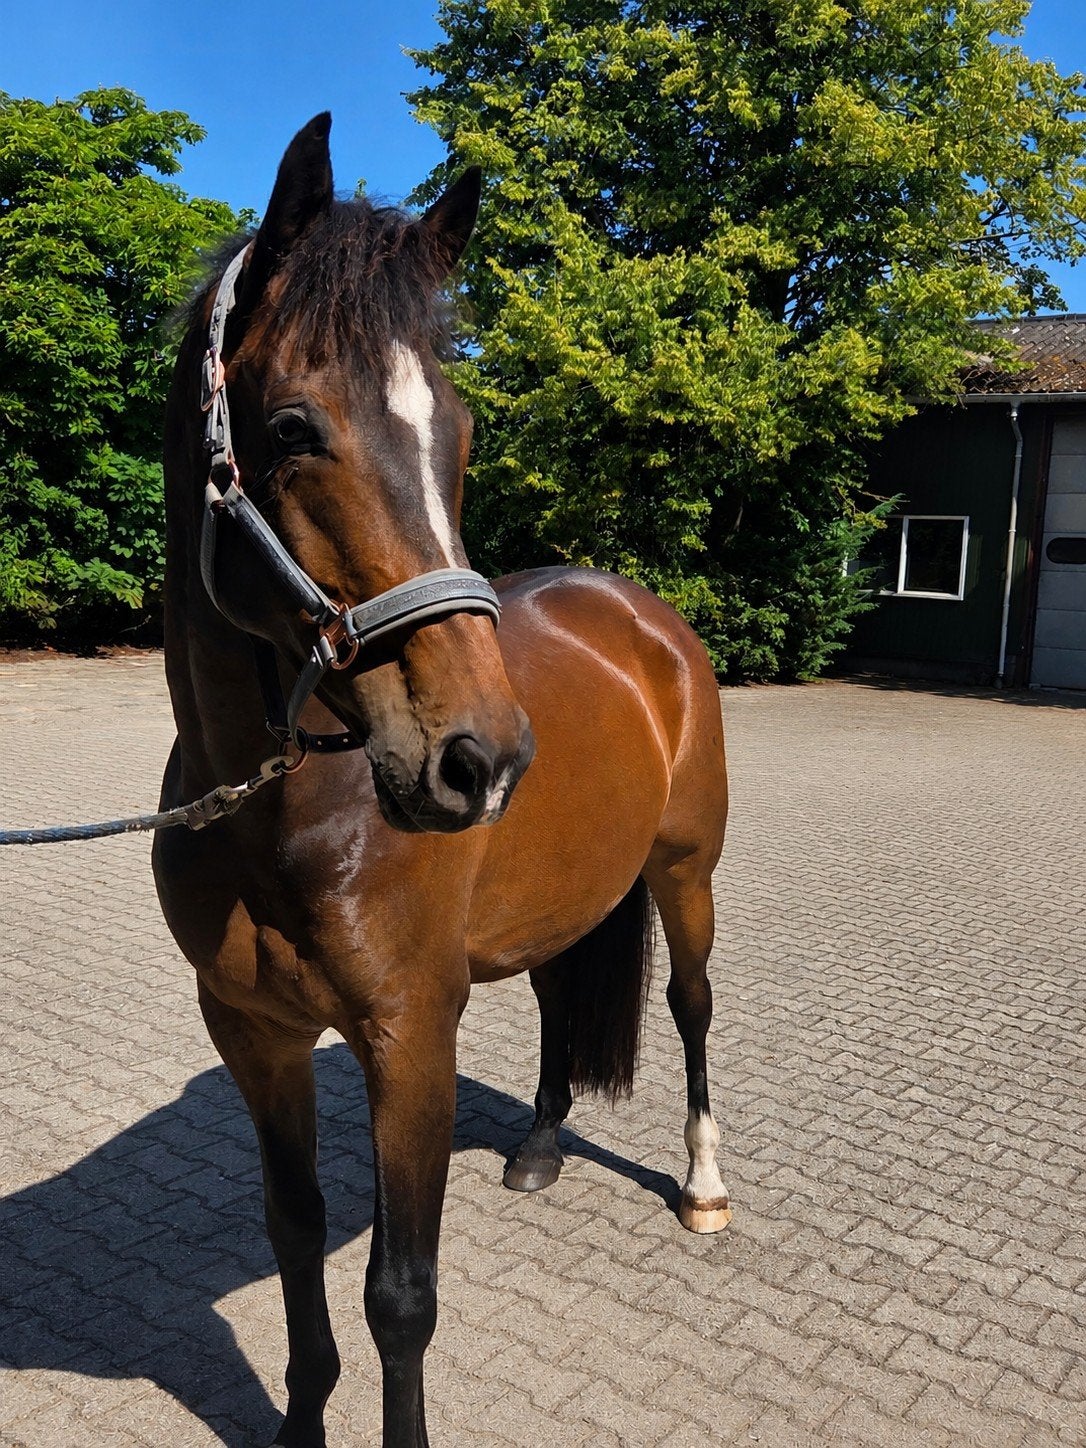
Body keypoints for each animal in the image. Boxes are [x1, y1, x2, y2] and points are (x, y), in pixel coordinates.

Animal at [152, 113, 730, 1448]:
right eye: (293, 427)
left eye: (461, 436)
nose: (479, 756)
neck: (281, 817)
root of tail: (641, 615)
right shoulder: (252, 1029)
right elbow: (296, 1235)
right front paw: (299, 1421)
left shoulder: (409, 1035)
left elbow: (399, 1295)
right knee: (566, 992)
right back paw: (541, 1144)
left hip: (685, 872)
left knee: (691, 1005)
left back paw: (705, 1181)